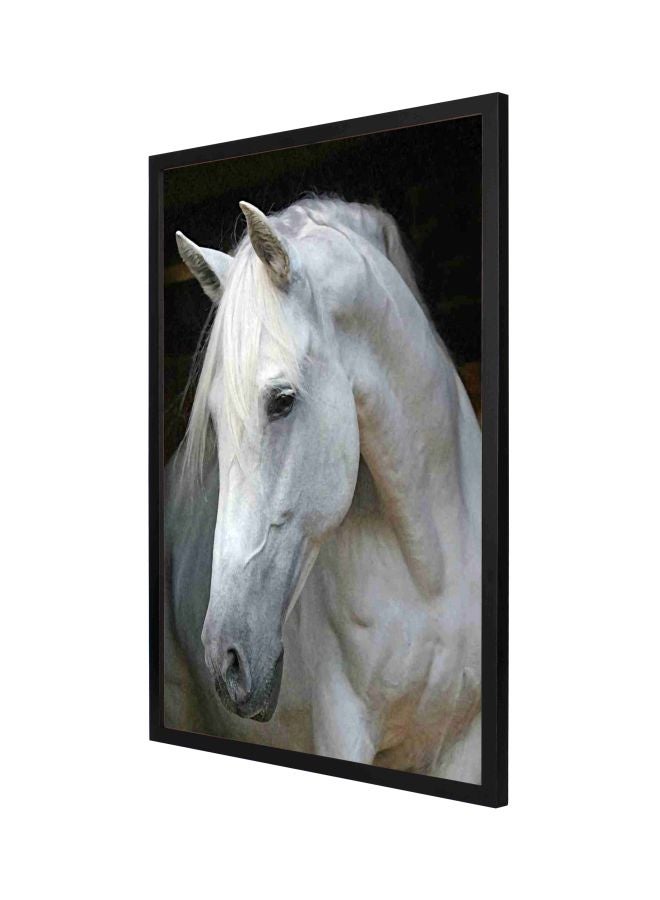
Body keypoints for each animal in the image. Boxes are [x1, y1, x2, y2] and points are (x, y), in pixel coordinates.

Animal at [164, 197, 482, 782]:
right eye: (213, 421)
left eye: (282, 400)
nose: (225, 657)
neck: (430, 574)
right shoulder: (344, 733)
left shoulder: (465, 741)